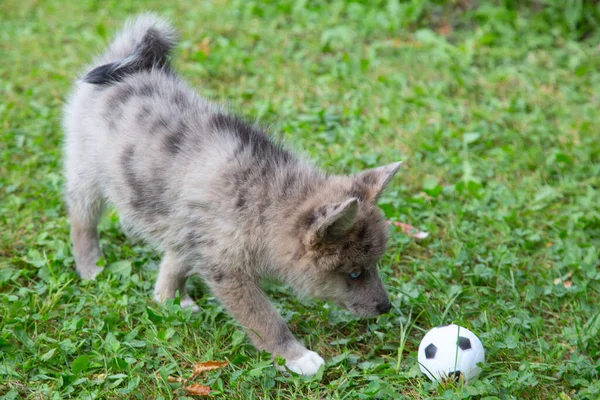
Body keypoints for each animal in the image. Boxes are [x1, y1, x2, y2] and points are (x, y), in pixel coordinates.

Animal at [63, 12, 400, 376]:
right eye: (354, 273)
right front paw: (295, 356)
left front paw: (169, 298)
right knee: (82, 220)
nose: (386, 307)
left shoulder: (194, 235)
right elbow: (264, 317)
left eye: (373, 265)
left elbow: (176, 263)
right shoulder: (227, 270)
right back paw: (91, 266)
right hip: (85, 171)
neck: (265, 201)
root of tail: (128, 61)